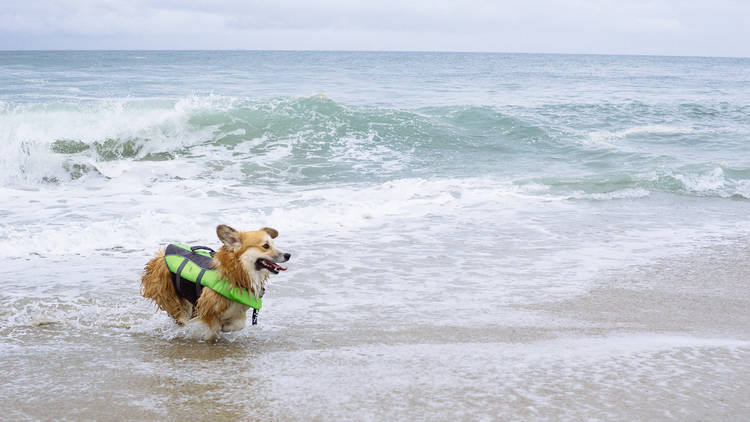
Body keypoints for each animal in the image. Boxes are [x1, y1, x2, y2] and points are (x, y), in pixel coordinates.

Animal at [141, 224, 290, 340]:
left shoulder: (236, 310)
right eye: (266, 246)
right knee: (181, 317)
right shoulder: (208, 310)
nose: (288, 255)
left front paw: (226, 327)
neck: (235, 274)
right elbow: (212, 329)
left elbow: (238, 324)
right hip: (174, 299)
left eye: (273, 244)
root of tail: (159, 257)